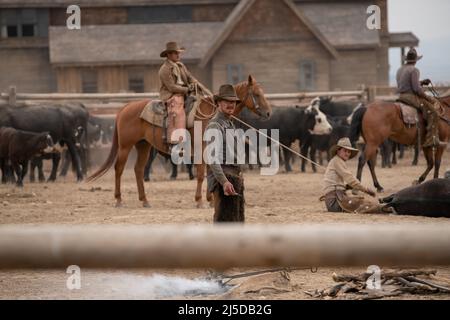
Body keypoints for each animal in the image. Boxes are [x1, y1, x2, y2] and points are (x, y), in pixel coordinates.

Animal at [87, 76, 270, 209]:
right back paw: (119, 200)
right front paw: (200, 200)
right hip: (125, 146)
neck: (211, 114)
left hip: (143, 145)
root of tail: (125, 108)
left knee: (138, 170)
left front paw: (210, 199)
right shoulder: (201, 149)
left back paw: (145, 200)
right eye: (257, 94)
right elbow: (201, 174)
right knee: (119, 169)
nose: (268, 113)